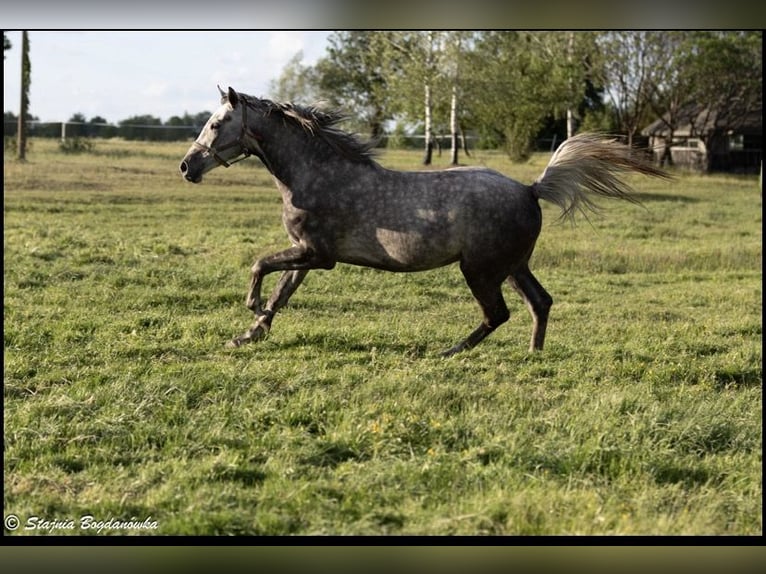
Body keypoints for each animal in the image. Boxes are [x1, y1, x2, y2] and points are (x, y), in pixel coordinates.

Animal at [180, 86, 670, 356]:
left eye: (218, 122)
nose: (187, 167)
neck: (316, 174)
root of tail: (531, 189)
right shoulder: (307, 254)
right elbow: (282, 292)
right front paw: (248, 334)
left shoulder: (318, 254)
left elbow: (261, 266)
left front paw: (250, 307)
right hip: (513, 266)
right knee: (540, 302)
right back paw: (533, 354)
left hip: (480, 269)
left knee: (498, 313)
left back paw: (448, 351)